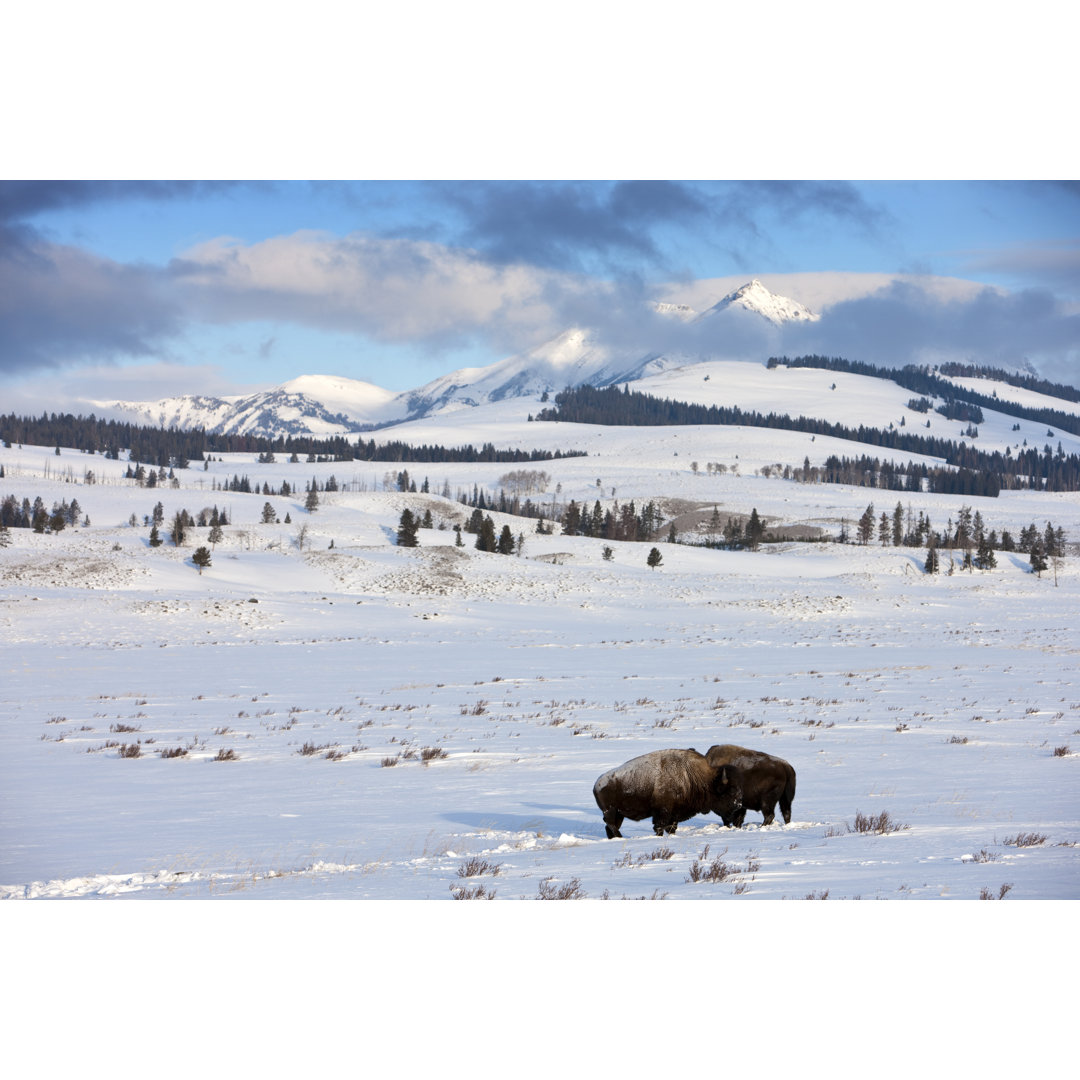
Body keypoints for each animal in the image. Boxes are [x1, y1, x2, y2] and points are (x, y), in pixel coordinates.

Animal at [591, 747, 743, 838]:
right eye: (730, 792)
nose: (738, 805)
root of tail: (597, 784)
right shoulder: (662, 812)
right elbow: (659, 827)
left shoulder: (674, 814)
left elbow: (671, 828)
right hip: (611, 811)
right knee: (610, 825)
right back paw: (621, 837)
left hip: (619, 814)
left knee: (609, 827)